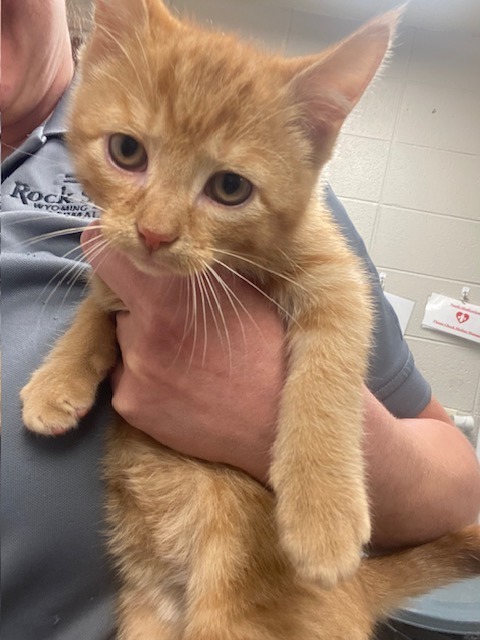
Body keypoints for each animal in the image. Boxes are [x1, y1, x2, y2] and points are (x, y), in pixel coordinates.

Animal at [21, 0, 480, 636]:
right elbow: (99, 303)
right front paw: (57, 379)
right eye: (127, 152)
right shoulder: (117, 261)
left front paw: (323, 511)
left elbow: (328, 376)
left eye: (230, 187)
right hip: (148, 613)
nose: (154, 233)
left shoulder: (339, 278)